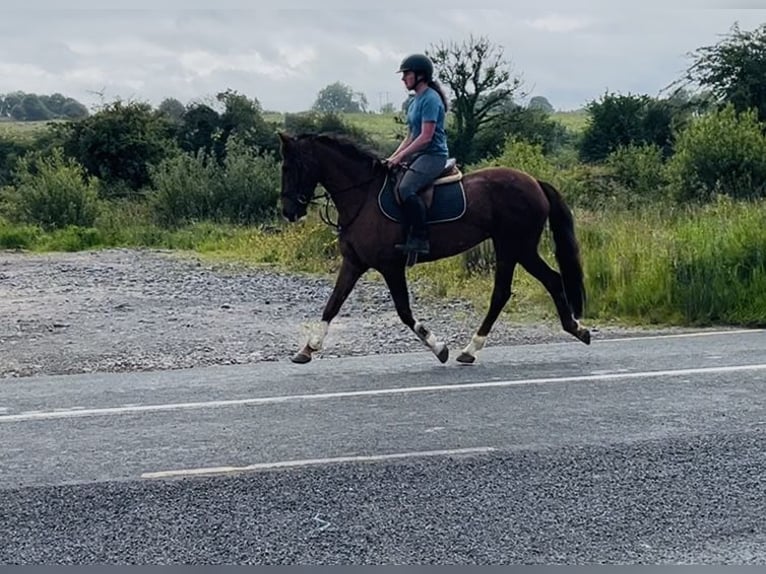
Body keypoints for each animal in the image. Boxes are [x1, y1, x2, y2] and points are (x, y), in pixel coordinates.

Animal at [277, 131, 591, 365]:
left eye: (289, 167)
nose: (289, 211)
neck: (362, 196)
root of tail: (534, 182)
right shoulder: (354, 263)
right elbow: (333, 303)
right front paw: (307, 348)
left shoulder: (390, 265)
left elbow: (404, 311)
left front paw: (438, 347)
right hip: (516, 248)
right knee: (542, 282)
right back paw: (573, 329)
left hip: (515, 246)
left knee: (512, 290)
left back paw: (473, 348)